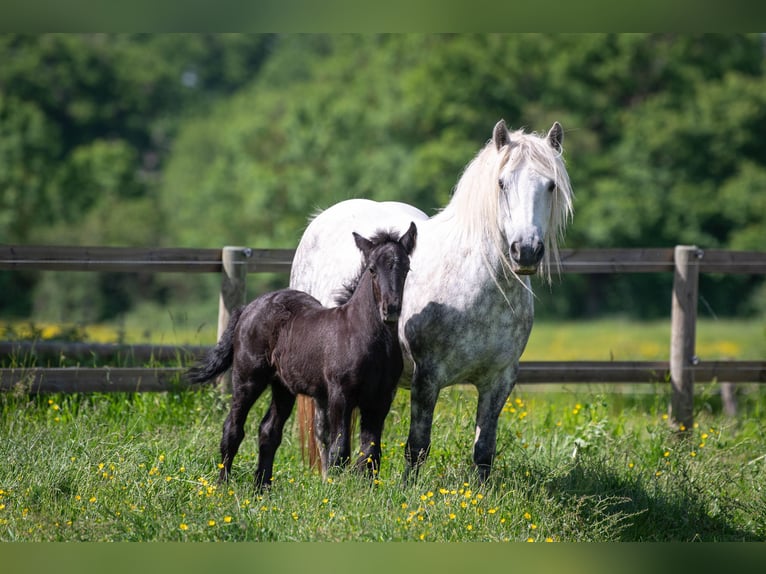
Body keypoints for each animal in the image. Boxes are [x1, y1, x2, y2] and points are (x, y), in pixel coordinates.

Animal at [188, 223, 417, 488]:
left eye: (406, 268)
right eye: (372, 269)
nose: (391, 309)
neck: (369, 339)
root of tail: (248, 308)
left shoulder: (380, 399)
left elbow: (370, 452)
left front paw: (365, 490)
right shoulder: (340, 395)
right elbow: (340, 449)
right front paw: (339, 489)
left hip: (283, 386)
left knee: (269, 431)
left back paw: (262, 487)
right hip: (248, 378)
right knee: (233, 427)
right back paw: (223, 484)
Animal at [290, 119, 573, 483]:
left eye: (550, 185)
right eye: (502, 183)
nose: (525, 250)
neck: (479, 289)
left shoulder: (499, 380)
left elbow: (484, 450)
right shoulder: (427, 378)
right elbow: (417, 446)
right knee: (325, 433)